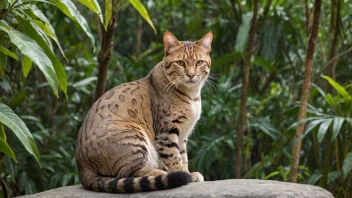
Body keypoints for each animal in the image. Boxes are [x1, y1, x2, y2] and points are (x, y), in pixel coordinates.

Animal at [75, 31, 213, 193]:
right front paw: (184, 174)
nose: (191, 75)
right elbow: (174, 158)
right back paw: (159, 173)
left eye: (199, 62)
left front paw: (189, 172)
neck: (192, 95)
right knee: (125, 174)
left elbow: (183, 156)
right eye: (180, 63)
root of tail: (82, 169)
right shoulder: (166, 132)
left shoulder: (183, 134)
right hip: (134, 136)